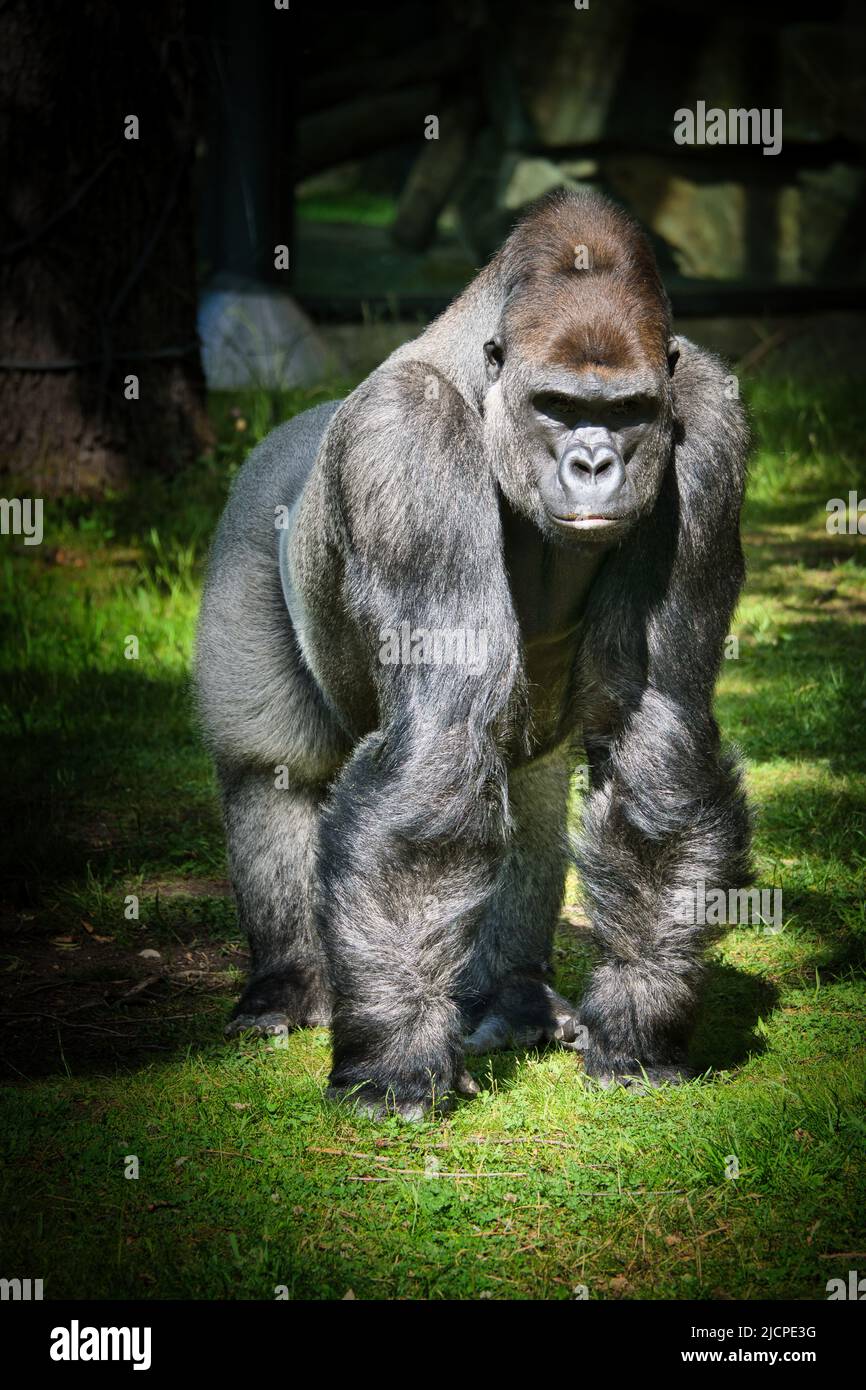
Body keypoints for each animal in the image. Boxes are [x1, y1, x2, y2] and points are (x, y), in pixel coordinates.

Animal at [195, 187, 750, 1117]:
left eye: (628, 411)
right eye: (558, 405)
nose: (594, 463)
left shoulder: (708, 423)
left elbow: (658, 726)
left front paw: (638, 1021)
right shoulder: (406, 439)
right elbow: (437, 743)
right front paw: (394, 1062)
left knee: (526, 800)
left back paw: (512, 998)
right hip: (244, 532)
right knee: (274, 768)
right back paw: (285, 984)